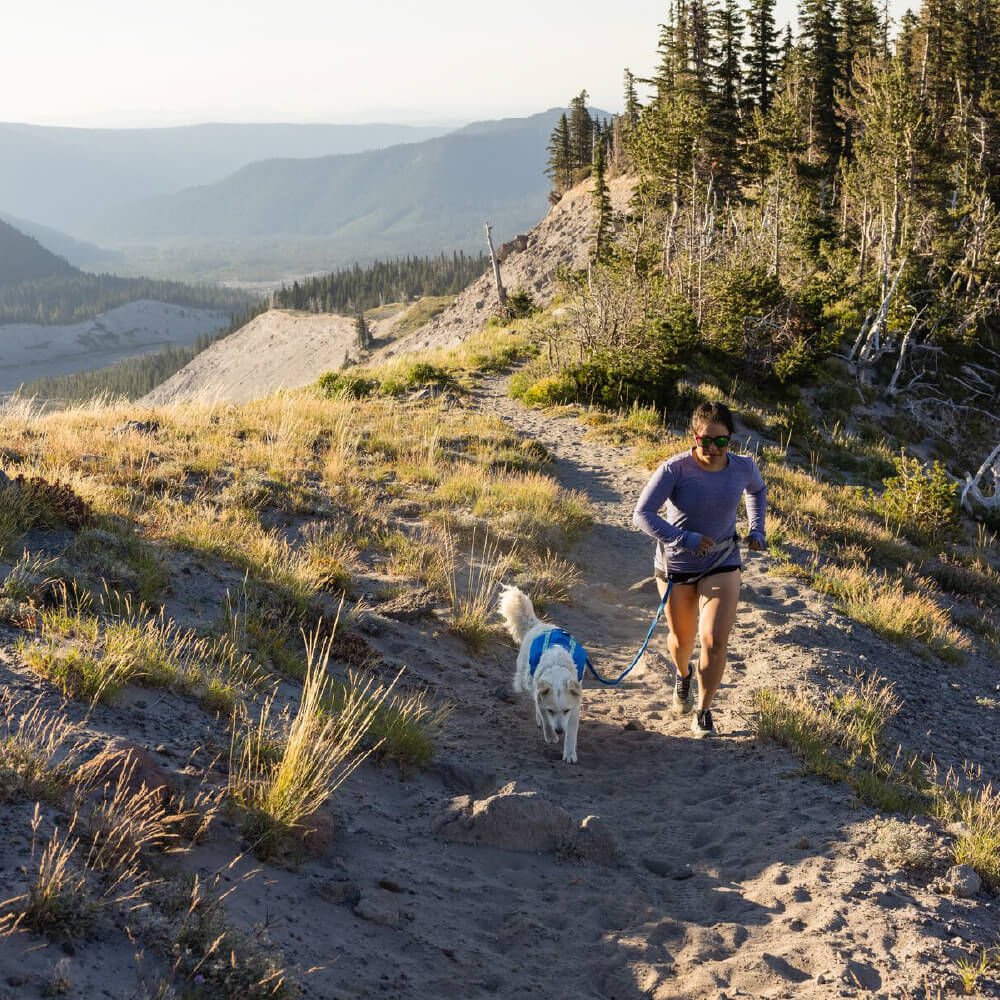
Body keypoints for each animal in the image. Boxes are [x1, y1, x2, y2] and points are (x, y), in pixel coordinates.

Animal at [498, 584, 584, 764]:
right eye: (552, 711)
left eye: (566, 711)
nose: (559, 731)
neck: (557, 667)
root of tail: (538, 625)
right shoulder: (542, 700)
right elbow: (545, 718)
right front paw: (550, 736)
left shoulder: (574, 706)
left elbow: (572, 732)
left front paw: (569, 754)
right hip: (528, 680)